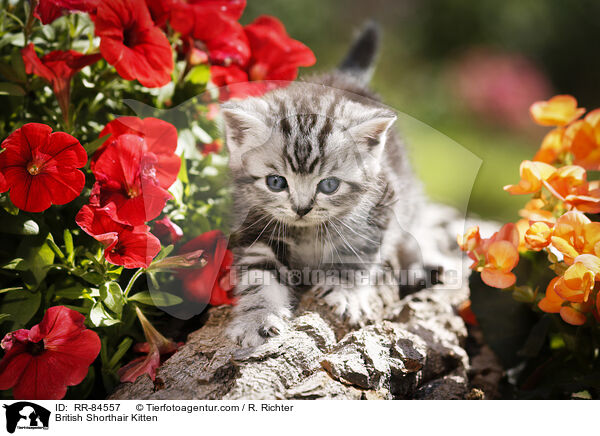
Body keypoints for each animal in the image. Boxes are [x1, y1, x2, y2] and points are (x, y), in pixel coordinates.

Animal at [220, 24, 422, 348]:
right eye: (276, 182)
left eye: (328, 185)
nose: (301, 209)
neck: (306, 232)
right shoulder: (254, 223)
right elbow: (259, 275)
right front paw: (258, 319)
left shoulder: (381, 205)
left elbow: (356, 253)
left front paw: (345, 291)